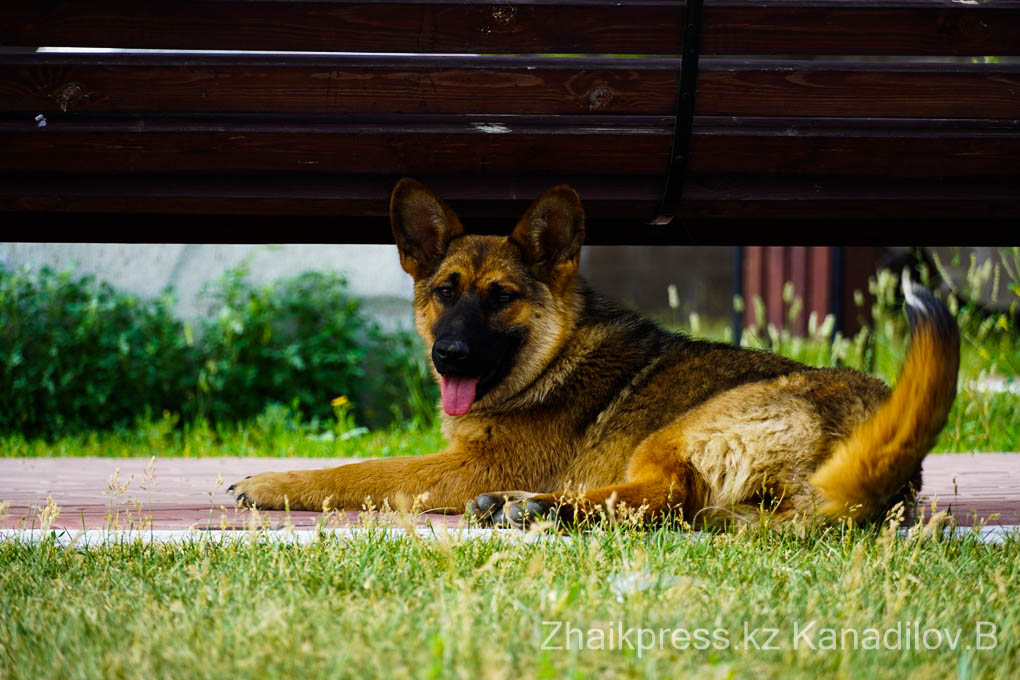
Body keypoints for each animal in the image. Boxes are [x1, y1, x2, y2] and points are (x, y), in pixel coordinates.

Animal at [229, 179, 959, 528]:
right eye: (445, 292)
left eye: (500, 297)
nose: (450, 357)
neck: (552, 356)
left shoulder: (463, 468)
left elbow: (360, 470)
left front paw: (271, 483)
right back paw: (521, 505)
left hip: (679, 431)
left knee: (664, 498)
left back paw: (536, 507)